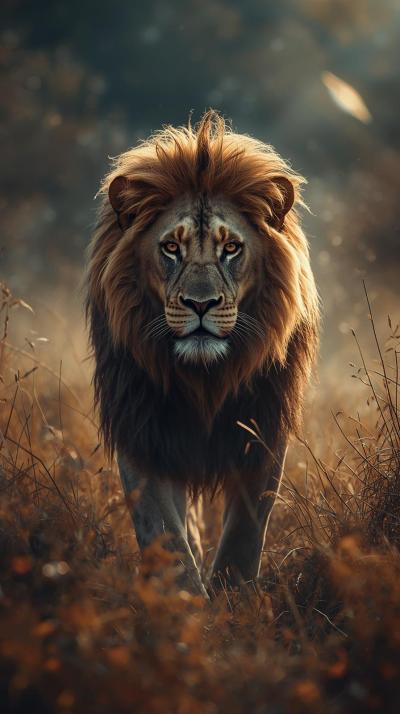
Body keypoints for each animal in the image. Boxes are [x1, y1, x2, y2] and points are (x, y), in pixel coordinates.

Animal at [86, 110, 319, 597]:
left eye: (231, 248)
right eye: (171, 248)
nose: (200, 304)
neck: (204, 379)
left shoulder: (262, 432)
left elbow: (244, 534)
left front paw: (234, 598)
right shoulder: (142, 432)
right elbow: (165, 535)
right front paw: (184, 602)